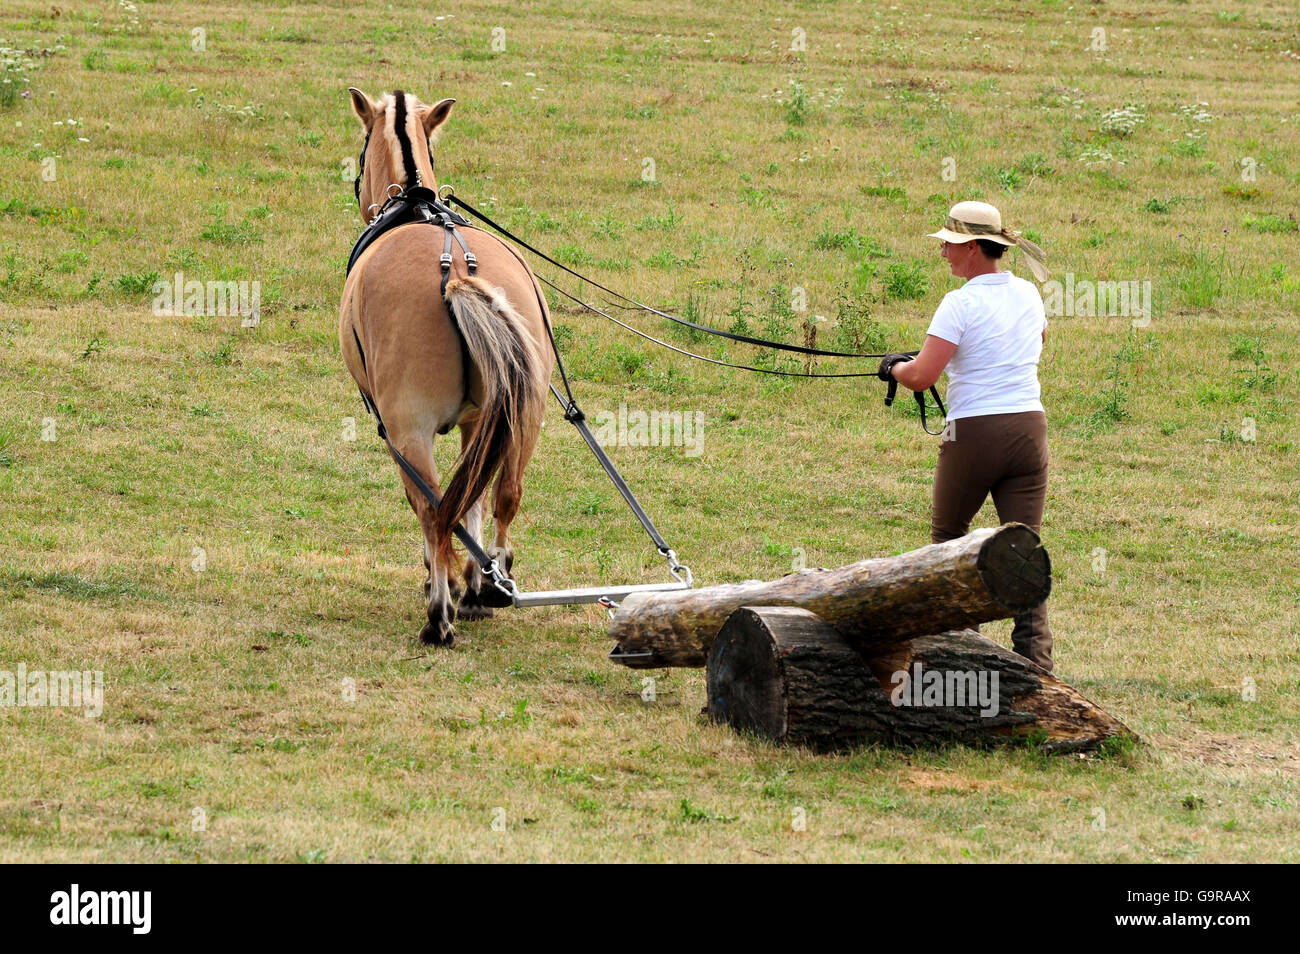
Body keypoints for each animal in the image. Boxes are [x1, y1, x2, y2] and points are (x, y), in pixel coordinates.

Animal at [335, 89, 553, 647]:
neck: (413, 203)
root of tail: (457, 274)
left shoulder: (400, 431)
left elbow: (431, 505)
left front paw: (445, 583)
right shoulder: (480, 421)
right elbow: (473, 499)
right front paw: (474, 585)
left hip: (407, 429)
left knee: (434, 510)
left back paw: (439, 616)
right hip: (523, 417)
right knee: (505, 494)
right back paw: (494, 582)